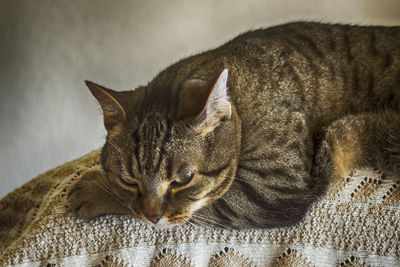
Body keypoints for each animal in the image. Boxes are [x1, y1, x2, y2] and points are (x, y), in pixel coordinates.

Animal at [67, 21, 398, 230]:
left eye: (183, 179)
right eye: (129, 180)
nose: (152, 216)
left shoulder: (277, 188)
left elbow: (210, 206)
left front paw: (92, 190)